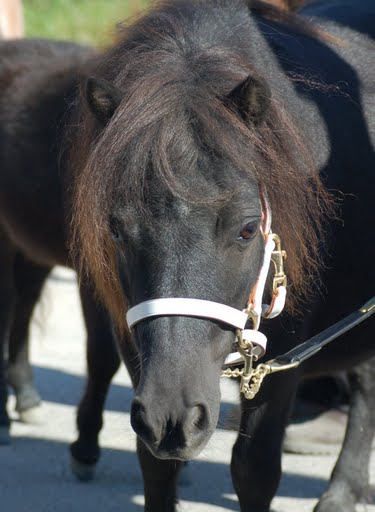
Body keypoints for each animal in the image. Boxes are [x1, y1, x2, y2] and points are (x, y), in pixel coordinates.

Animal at [0, 1, 374, 512]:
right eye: (116, 228)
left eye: (248, 228)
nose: (173, 415)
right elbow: (155, 465)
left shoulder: (284, 361)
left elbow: (254, 470)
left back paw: (341, 492)